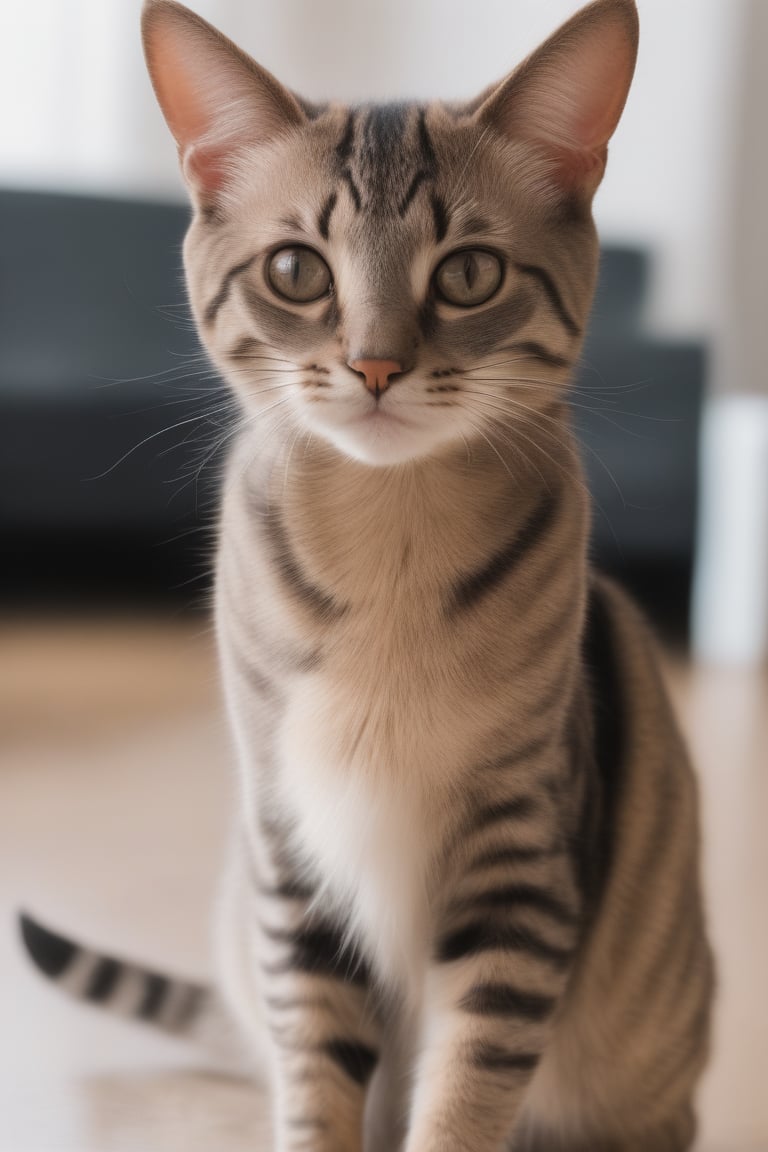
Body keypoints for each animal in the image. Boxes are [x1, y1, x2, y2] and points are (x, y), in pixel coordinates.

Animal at [19, 2, 713, 1152]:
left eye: (469, 273)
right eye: (297, 271)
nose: (377, 365)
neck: (388, 546)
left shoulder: (518, 863)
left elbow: (467, 1086)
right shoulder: (293, 853)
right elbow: (318, 1074)